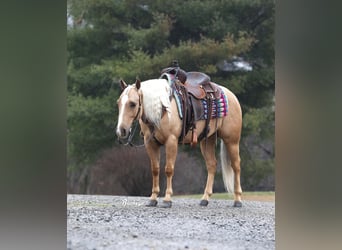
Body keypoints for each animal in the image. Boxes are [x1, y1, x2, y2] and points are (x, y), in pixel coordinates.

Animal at [116, 77, 242, 208]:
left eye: (133, 104)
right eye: (118, 103)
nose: (121, 130)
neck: (162, 109)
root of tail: (230, 94)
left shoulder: (171, 141)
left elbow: (168, 169)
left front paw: (167, 199)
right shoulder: (150, 144)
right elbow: (155, 169)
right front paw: (153, 199)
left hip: (232, 141)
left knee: (236, 165)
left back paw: (237, 200)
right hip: (207, 140)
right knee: (211, 165)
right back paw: (205, 199)